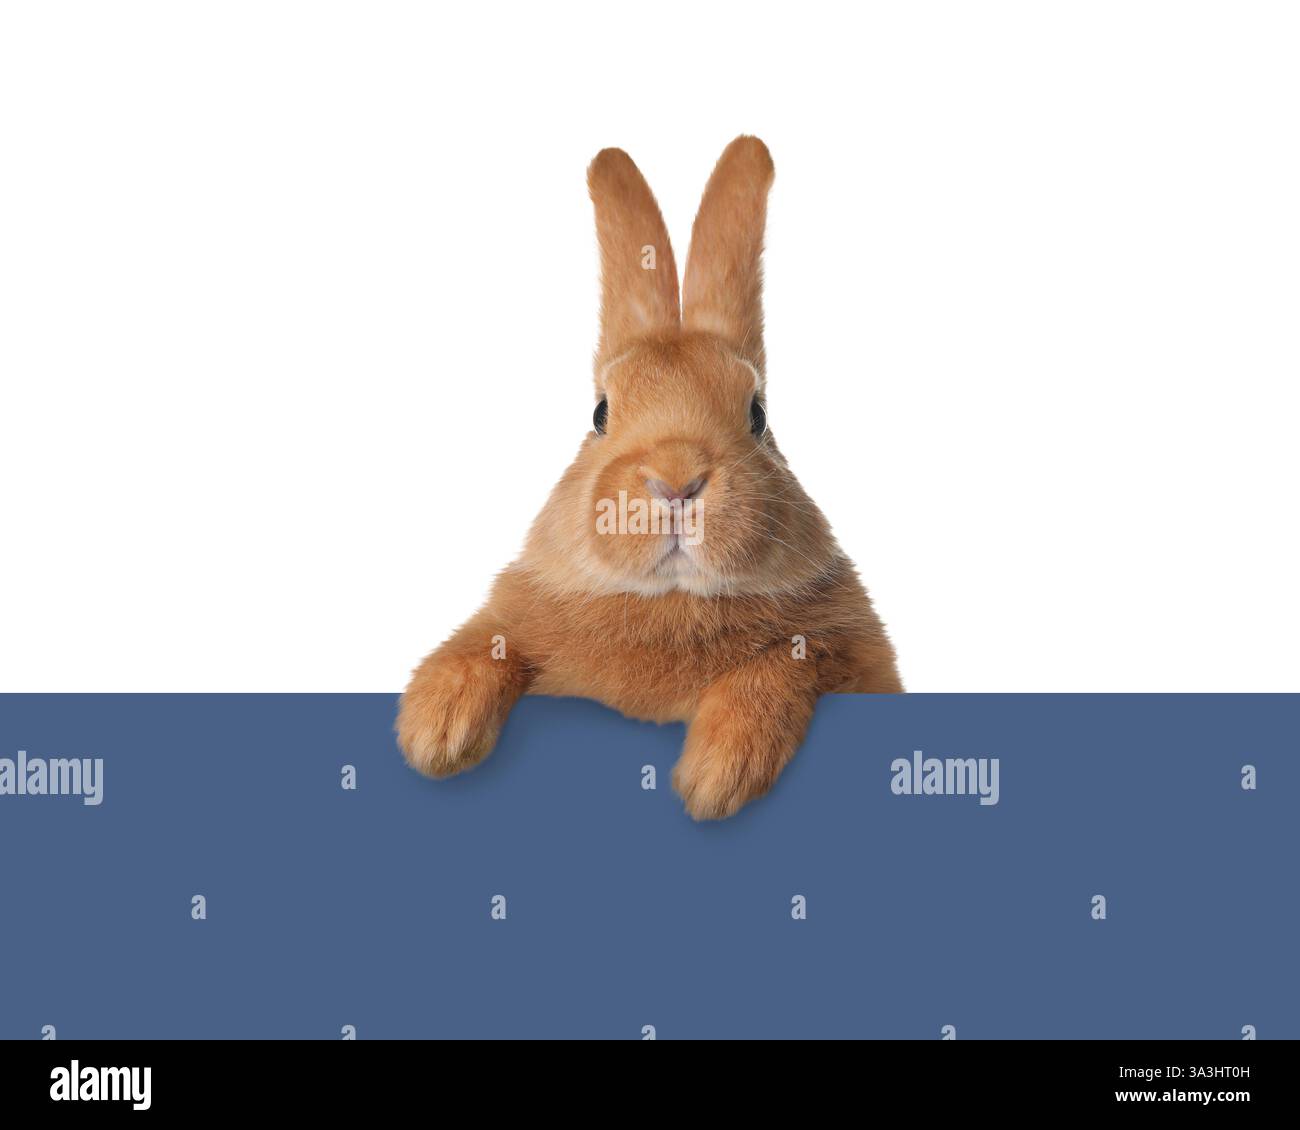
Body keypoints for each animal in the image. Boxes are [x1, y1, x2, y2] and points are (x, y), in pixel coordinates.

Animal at [397, 136, 902, 819]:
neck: (672, 602)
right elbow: (487, 641)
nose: (676, 481)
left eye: (758, 414)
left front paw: (718, 775)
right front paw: (435, 728)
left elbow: (788, 661)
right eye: (599, 413)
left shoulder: (852, 656)